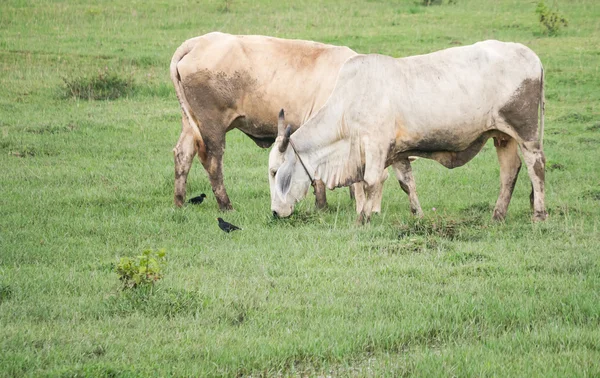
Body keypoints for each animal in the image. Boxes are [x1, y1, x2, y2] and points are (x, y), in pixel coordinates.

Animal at [169, 31, 358, 211]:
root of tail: (197, 42)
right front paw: (322, 206)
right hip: (212, 125)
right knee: (213, 163)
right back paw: (226, 206)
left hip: (190, 122)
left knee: (183, 154)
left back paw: (180, 203)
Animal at [270, 40, 548, 224]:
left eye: (274, 172)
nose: (274, 212)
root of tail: (532, 55)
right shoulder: (398, 151)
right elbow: (406, 183)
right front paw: (418, 215)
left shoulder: (376, 146)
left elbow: (369, 182)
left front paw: (364, 218)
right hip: (503, 136)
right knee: (510, 171)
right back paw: (498, 215)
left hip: (525, 132)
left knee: (536, 167)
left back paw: (539, 215)